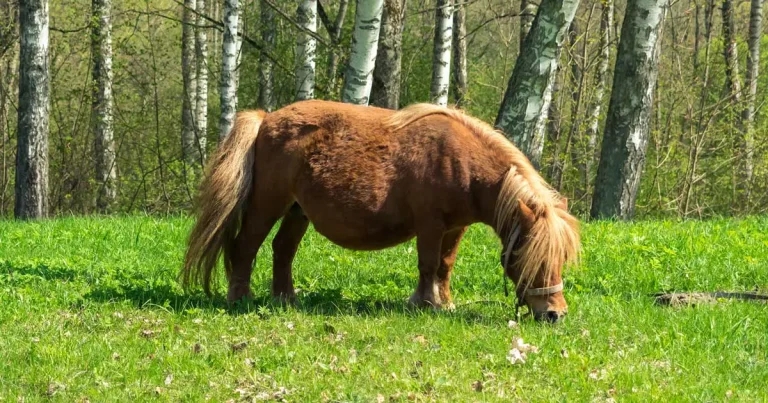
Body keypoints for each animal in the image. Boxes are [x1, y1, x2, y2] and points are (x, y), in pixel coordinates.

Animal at [180, 99, 580, 322]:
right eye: (531, 257)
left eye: (560, 259)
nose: (555, 314)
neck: (461, 161)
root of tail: (265, 119)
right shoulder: (430, 224)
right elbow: (428, 264)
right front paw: (424, 304)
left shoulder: (456, 228)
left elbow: (445, 265)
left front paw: (445, 303)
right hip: (269, 204)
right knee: (246, 246)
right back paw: (240, 298)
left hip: (297, 211)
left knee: (282, 250)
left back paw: (285, 298)